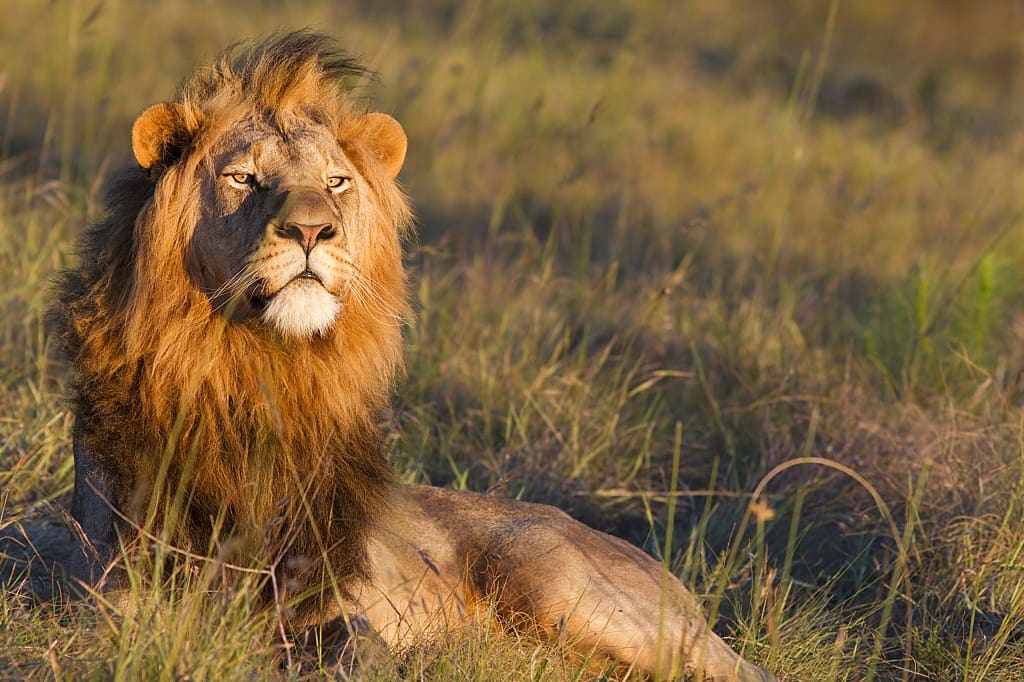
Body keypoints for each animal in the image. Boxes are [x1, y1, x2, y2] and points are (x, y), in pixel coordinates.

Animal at [31, 32, 773, 681]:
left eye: (336, 182)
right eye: (243, 178)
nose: (312, 229)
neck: (261, 369)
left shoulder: (327, 596)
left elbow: (357, 651)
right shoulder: (118, 600)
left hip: (566, 589)